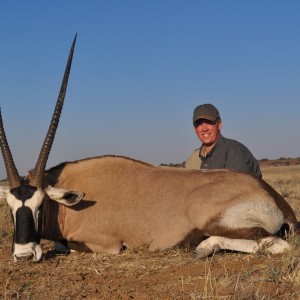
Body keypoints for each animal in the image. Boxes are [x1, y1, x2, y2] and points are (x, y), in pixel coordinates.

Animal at [0, 35, 298, 262]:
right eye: (11, 208)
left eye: (40, 206)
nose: (24, 255)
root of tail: (272, 196)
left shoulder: (106, 244)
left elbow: (63, 245)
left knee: (275, 244)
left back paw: (204, 247)